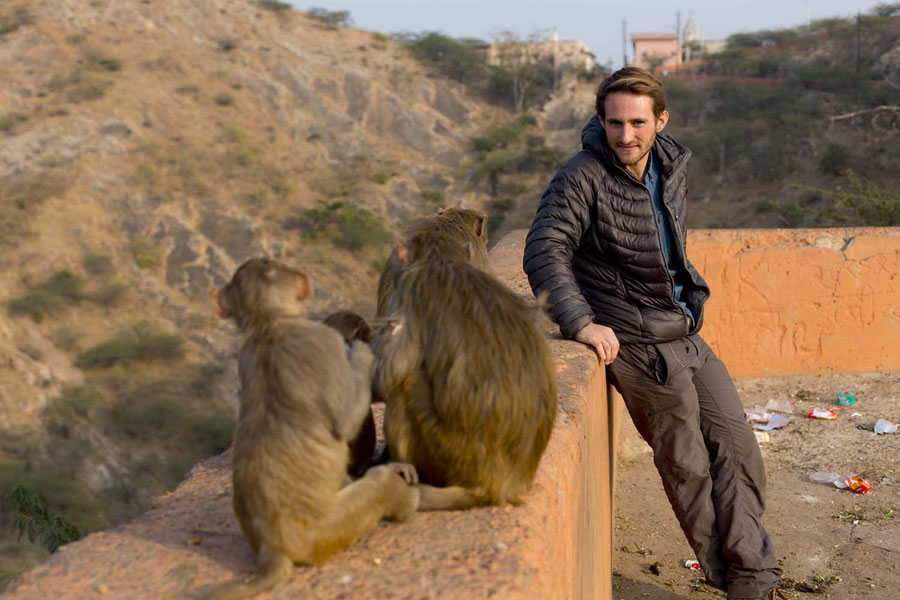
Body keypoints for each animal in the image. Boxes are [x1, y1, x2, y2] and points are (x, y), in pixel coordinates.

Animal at [370, 231, 556, 510]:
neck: (440, 260)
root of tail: (495, 486)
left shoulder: (408, 295)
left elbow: (385, 378)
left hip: (444, 452)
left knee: (404, 389)